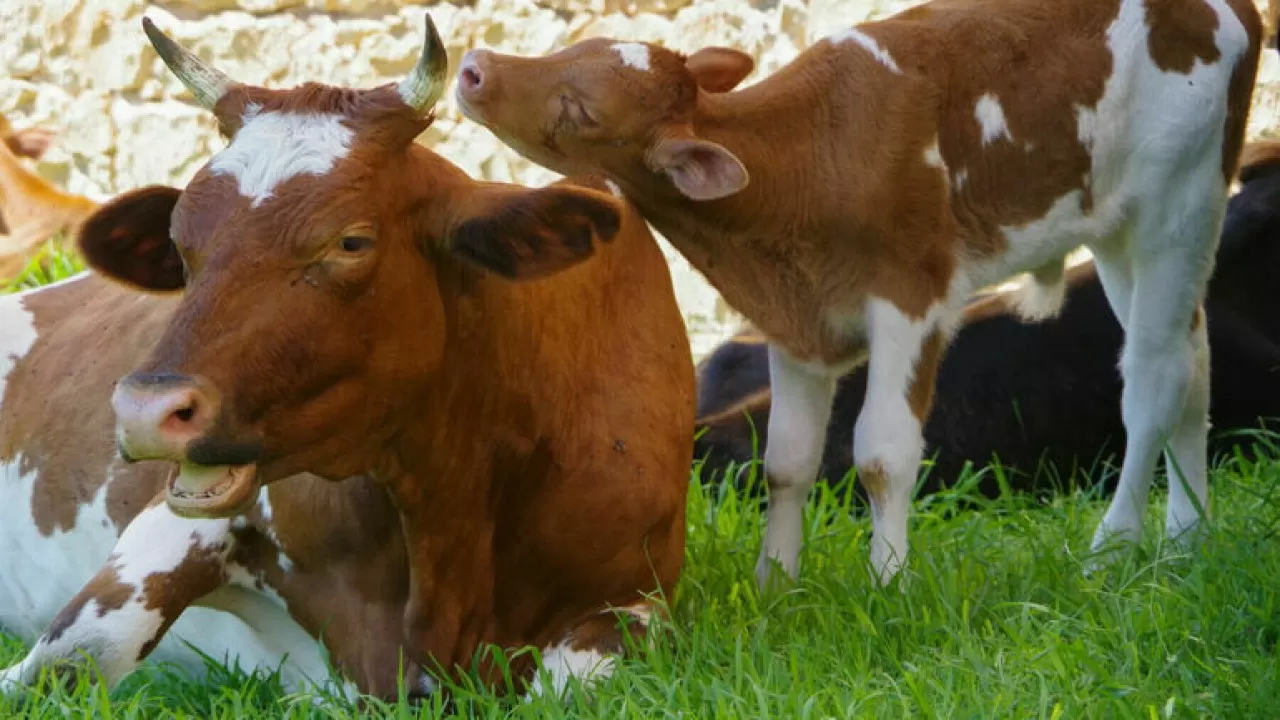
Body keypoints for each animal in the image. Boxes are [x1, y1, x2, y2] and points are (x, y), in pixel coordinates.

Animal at [2, 11, 701, 696]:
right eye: (179, 242)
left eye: (351, 241)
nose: (146, 410)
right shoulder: (176, 526)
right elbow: (72, 657)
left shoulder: (634, 602)